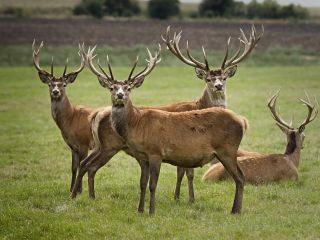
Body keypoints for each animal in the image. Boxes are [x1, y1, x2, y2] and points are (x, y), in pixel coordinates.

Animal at [32, 40, 97, 193]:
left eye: (64, 84)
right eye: (50, 84)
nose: (55, 92)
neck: (70, 120)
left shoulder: (84, 143)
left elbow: (81, 165)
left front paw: (79, 191)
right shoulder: (72, 145)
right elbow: (73, 167)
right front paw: (71, 189)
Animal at [70, 25, 262, 202]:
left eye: (224, 77)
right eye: (208, 79)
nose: (218, 86)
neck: (198, 105)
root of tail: (96, 114)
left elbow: (183, 172)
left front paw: (180, 197)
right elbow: (186, 173)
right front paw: (186, 198)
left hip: (98, 145)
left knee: (85, 164)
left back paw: (78, 193)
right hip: (109, 145)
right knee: (90, 166)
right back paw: (83, 195)